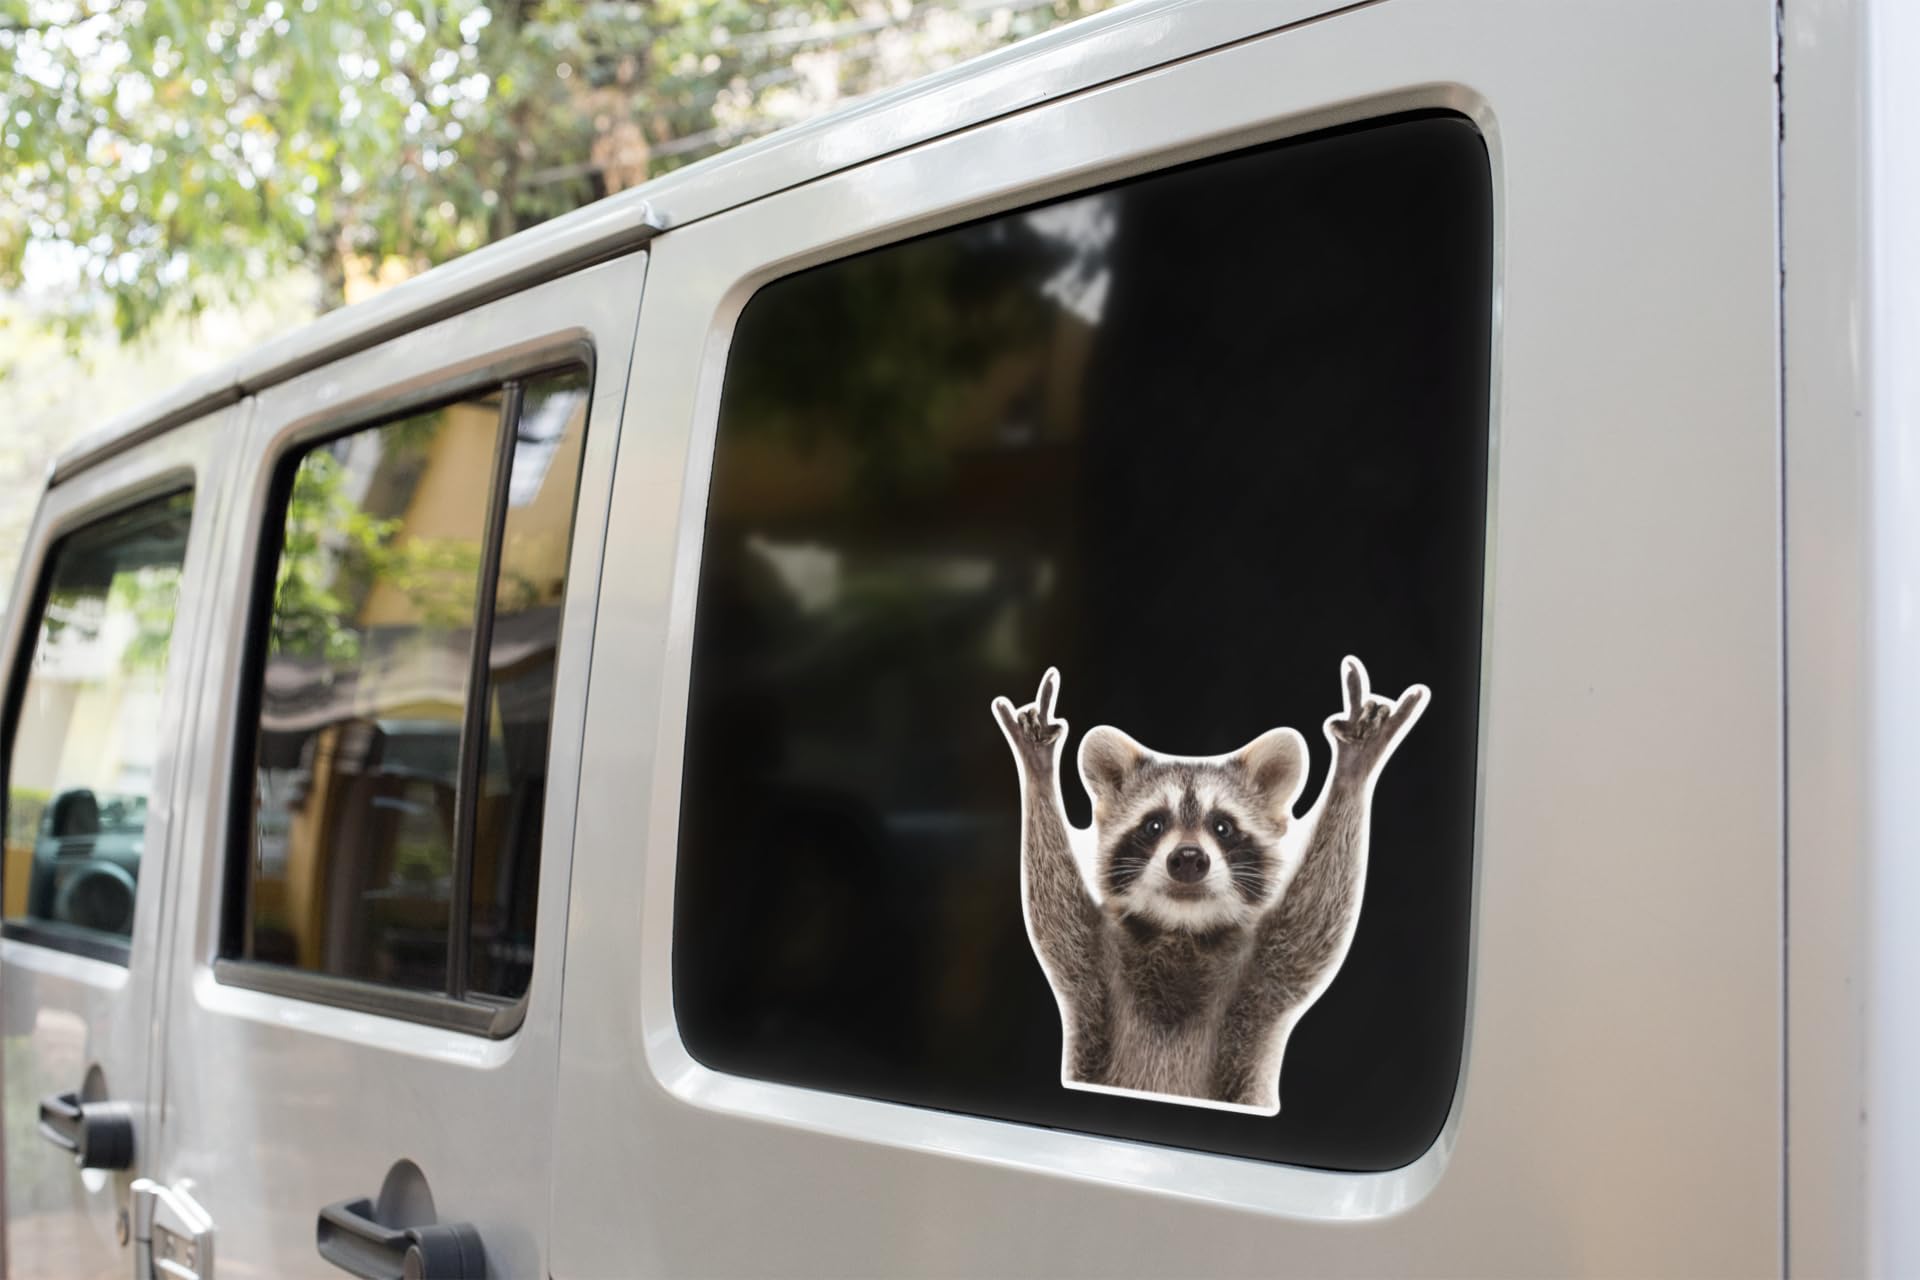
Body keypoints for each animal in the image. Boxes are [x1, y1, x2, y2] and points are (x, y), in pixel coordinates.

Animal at [990, 658, 1427, 1114]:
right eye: (1154, 825)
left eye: (1222, 827)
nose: (1187, 859)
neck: (1182, 930)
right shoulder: (1092, 971)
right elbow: (1053, 914)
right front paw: (1038, 772)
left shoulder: (1263, 980)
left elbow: (1315, 920)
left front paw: (1352, 772)